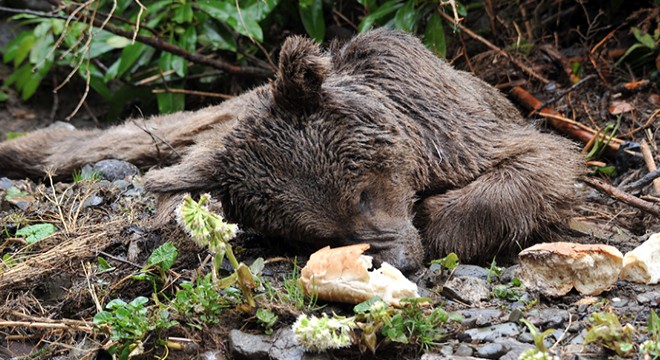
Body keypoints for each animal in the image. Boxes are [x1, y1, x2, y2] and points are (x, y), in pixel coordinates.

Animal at [0, 30, 576, 272]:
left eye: (364, 195)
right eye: (324, 234)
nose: (398, 261)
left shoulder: (453, 128)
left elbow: (542, 162)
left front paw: (436, 219)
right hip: (207, 126)